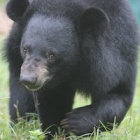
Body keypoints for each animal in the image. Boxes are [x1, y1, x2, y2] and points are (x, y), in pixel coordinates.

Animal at [4, 0, 139, 138]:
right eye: (25, 49)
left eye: (51, 55)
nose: (28, 79)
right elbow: (52, 103)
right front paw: (57, 132)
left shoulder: (119, 56)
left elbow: (118, 94)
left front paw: (74, 121)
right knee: (21, 103)